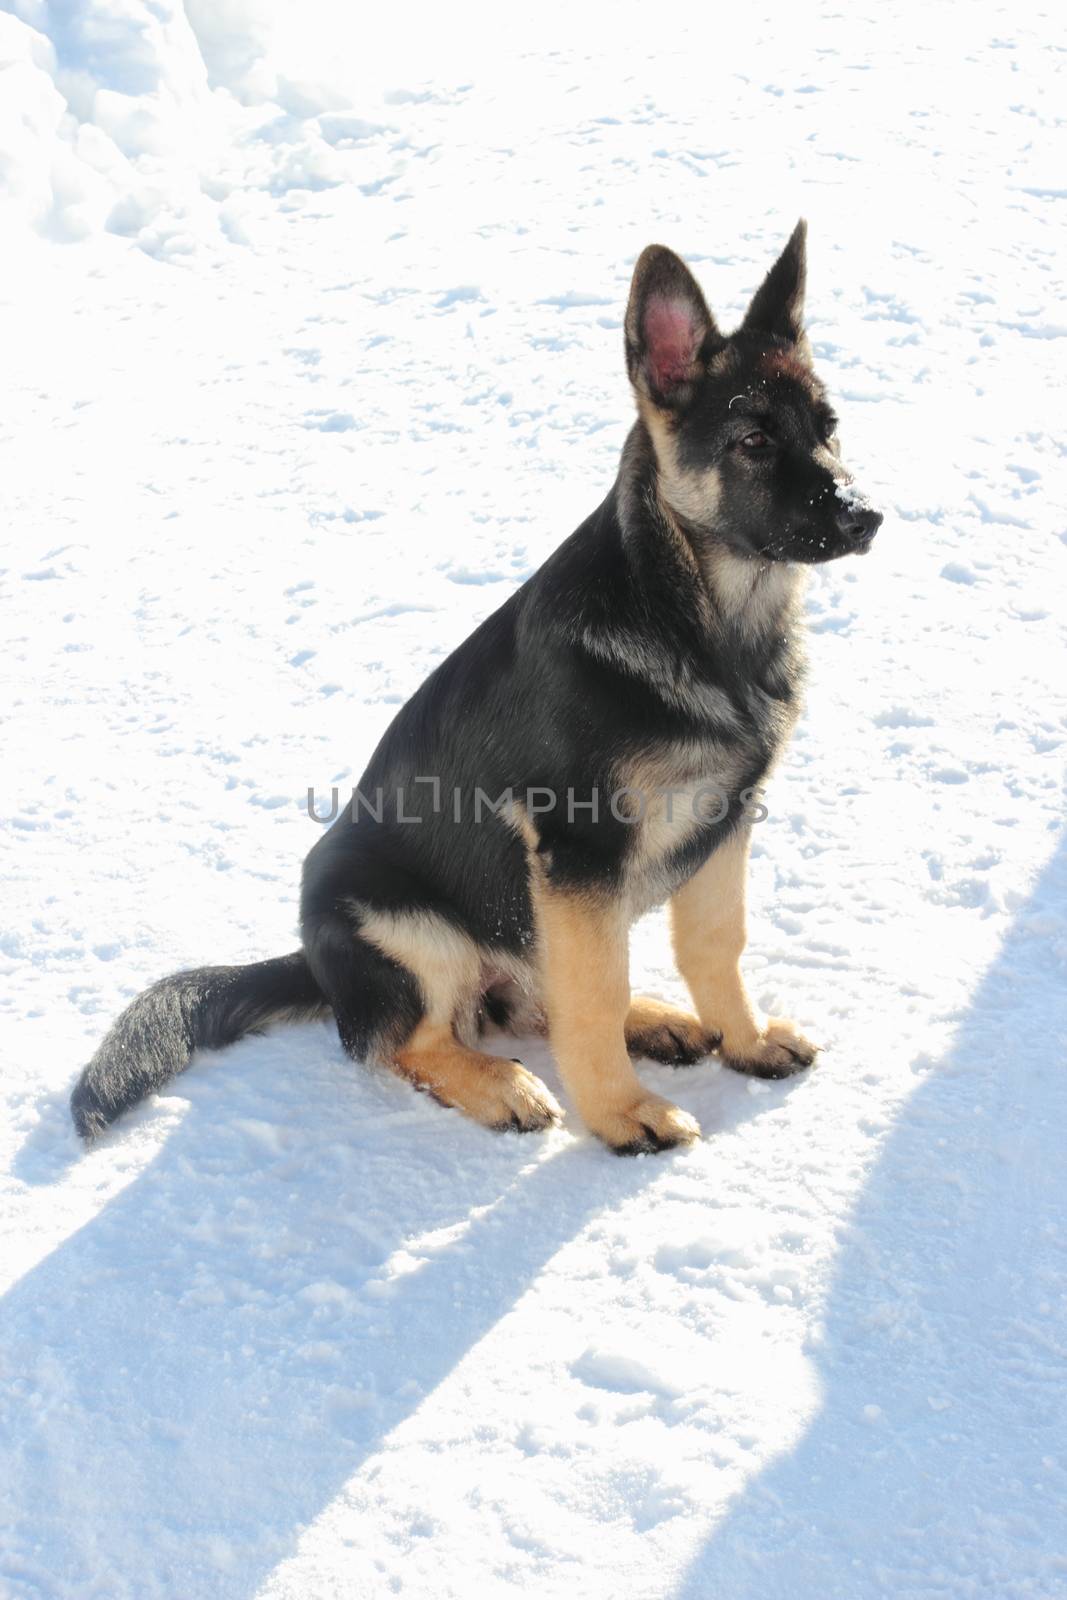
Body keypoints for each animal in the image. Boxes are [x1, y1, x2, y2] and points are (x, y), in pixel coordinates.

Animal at [70, 222, 883, 1152]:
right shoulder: (577, 852)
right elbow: (591, 994)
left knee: (533, 998)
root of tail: (314, 961)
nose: (864, 516)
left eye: (827, 428)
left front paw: (741, 1041)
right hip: (405, 921)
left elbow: (714, 944)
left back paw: (653, 1022)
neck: (702, 624)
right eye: (752, 441)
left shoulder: (725, 822)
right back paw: (500, 1085)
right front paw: (621, 1115)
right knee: (407, 1041)